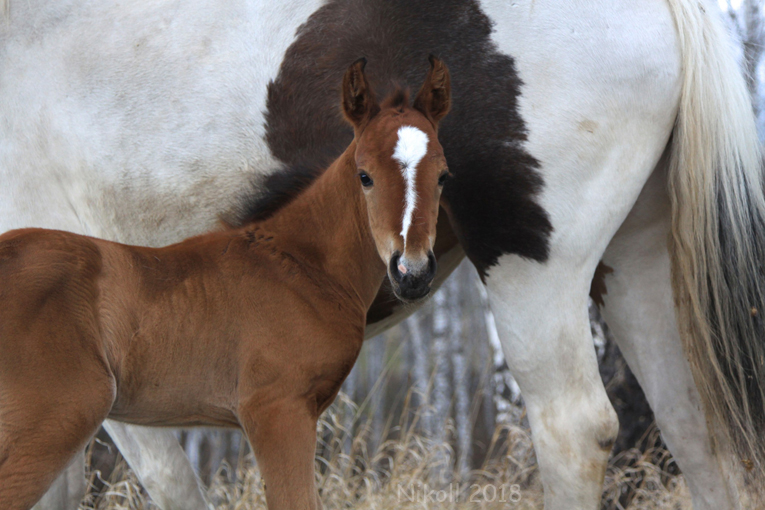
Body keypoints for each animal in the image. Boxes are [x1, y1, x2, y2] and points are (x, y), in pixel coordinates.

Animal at [0, 57, 448, 508]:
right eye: (364, 175)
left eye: (443, 175)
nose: (412, 271)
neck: (302, 265)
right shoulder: (276, 409)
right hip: (58, 418)